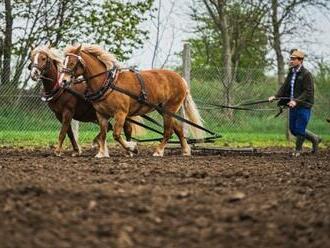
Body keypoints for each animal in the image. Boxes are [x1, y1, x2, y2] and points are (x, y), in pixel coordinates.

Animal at [59, 43, 204, 158]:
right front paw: (101, 153)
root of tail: (181, 79)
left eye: (72, 63)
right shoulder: (101, 114)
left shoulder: (121, 113)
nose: (62, 81)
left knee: (168, 132)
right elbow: (103, 134)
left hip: (169, 109)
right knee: (178, 129)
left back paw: (158, 151)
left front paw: (132, 148)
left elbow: (116, 134)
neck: (108, 83)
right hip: (163, 110)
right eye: (63, 62)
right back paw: (185, 151)